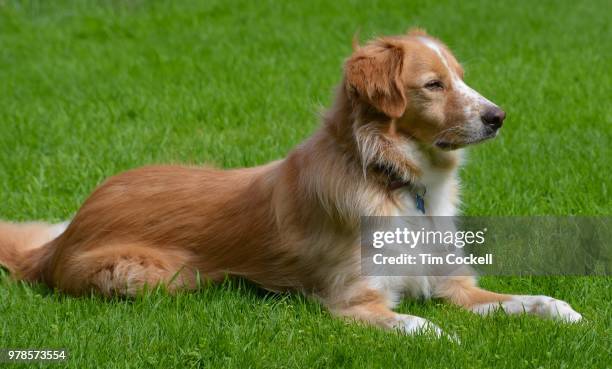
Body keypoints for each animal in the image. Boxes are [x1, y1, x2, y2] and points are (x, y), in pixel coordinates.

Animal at [0, 29, 584, 336]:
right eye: (433, 85)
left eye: (461, 77)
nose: (498, 117)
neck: (397, 183)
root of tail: (60, 240)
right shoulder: (354, 302)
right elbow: (423, 325)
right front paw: (447, 336)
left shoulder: (452, 284)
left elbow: (525, 299)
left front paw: (562, 310)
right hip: (157, 276)